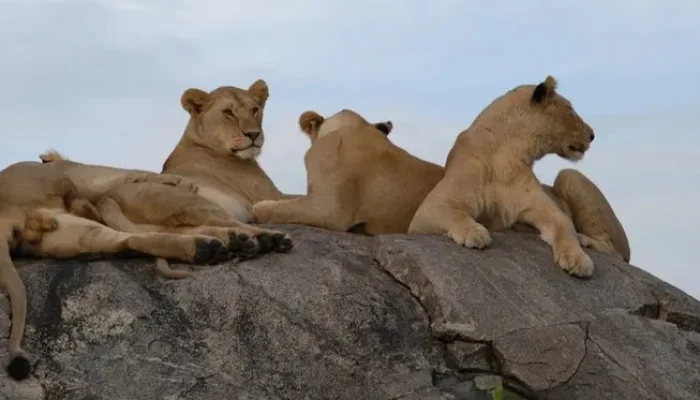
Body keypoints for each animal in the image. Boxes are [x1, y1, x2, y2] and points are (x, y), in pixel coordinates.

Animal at [408, 75, 626, 278]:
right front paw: (475, 234)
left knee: (615, 252)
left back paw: (583, 239)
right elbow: (456, 214)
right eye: (570, 109)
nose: (592, 135)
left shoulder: (541, 207)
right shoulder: (429, 209)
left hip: (569, 175)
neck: (506, 156)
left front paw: (577, 258)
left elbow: (564, 224)